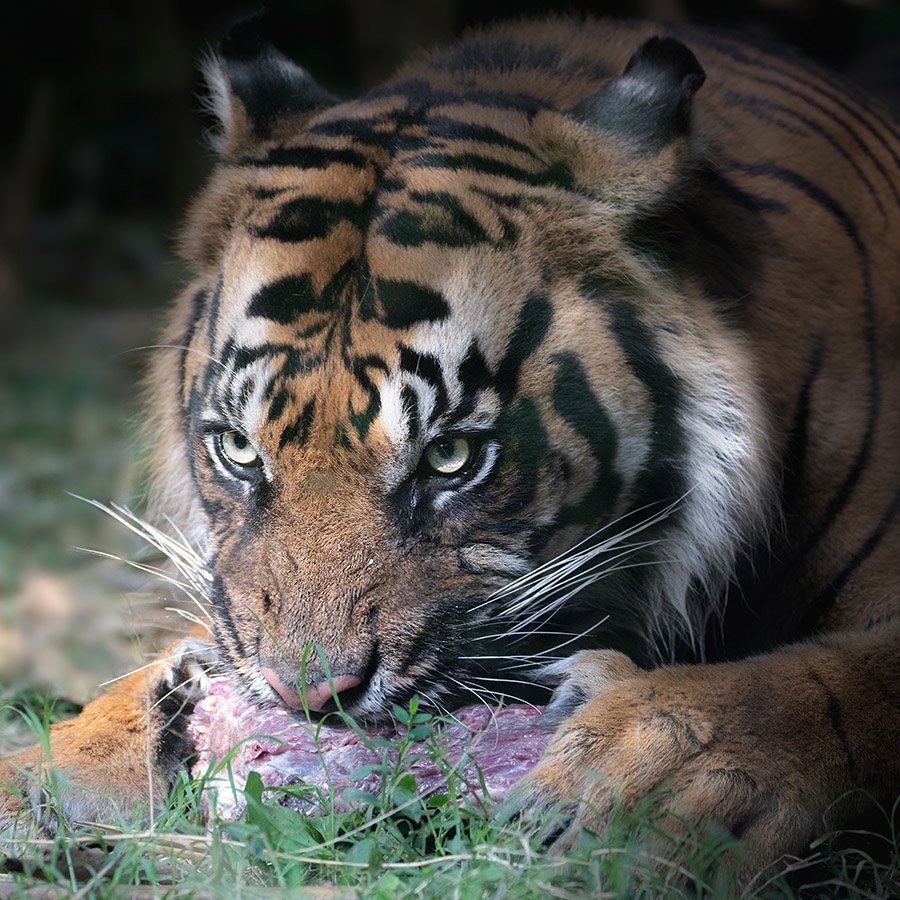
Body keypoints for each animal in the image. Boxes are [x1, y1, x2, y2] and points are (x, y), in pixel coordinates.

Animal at [1, 14, 900, 868]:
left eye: (451, 457)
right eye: (240, 451)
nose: (308, 701)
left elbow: (820, 684)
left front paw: (649, 776)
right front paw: (56, 765)